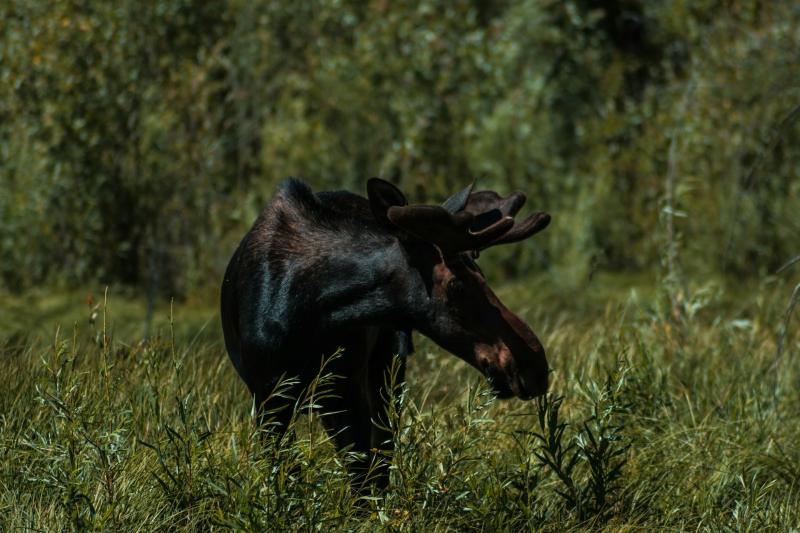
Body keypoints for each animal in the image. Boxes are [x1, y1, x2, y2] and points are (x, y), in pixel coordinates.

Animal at [222, 177, 552, 488]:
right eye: (456, 286)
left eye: (481, 273)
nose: (535, 366)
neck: (309, 311)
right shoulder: (268, 396)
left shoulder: (347, 390)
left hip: (387, 373)